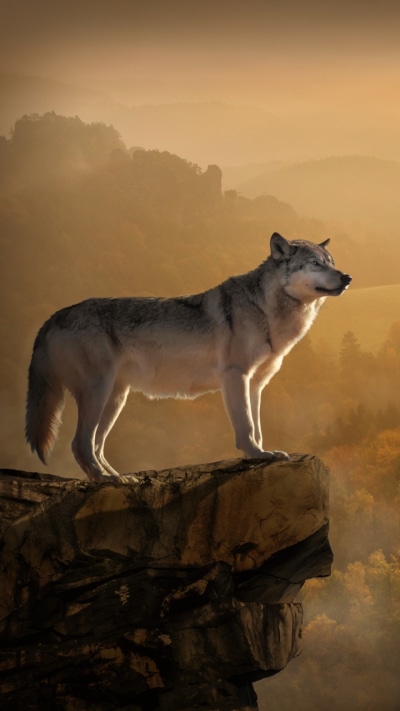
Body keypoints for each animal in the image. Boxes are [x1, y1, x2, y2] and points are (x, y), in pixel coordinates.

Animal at [26, 233, 351, 482]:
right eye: (315, 264)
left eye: (332, 263)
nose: (347, 277)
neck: (266, 310)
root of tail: (53, 316)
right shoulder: (235, 376)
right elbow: (246, 426)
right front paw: (255, 454)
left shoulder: (256, 384)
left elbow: (257, 427)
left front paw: (262, 453)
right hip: (99, 392)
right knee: (80, 444)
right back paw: (106, 480)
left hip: (116, 398)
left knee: (96, 445)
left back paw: (118, 477)